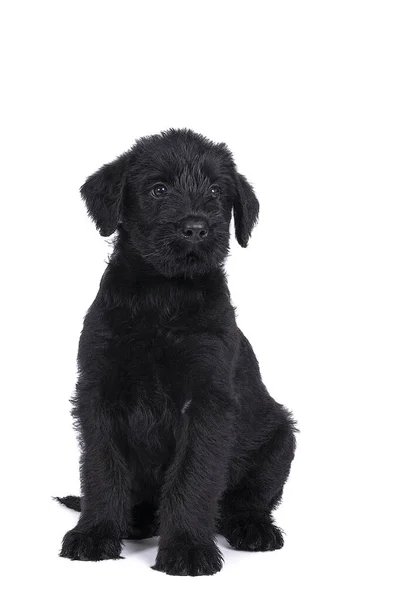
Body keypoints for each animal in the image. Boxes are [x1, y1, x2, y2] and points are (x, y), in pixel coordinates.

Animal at [56, 129, 296, 576]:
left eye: (217, 190)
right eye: (158, 189)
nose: (196, 229)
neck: (162, 295)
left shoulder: (206, 403)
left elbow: (193, 477)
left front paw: (186, 548)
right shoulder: (99, 394)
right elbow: (101, 470)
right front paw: (95, 533)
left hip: (280, 439)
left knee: (249, 501)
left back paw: (253, 529)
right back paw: (134, 522)